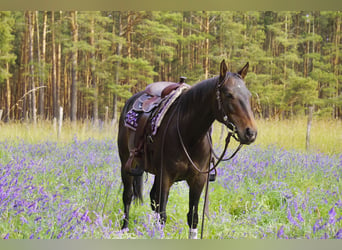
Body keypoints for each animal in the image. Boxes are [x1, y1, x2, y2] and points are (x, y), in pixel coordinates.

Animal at [117, 59, 256, 238]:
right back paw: (124, 229)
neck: (189, 134)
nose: (250, 132)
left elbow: (193, 217)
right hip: (126, 165)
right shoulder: (166, 177)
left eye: (248, 95)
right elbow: (162, 215)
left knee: (152, 198)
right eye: (229, 94)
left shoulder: (198, 180)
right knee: (127, 197)